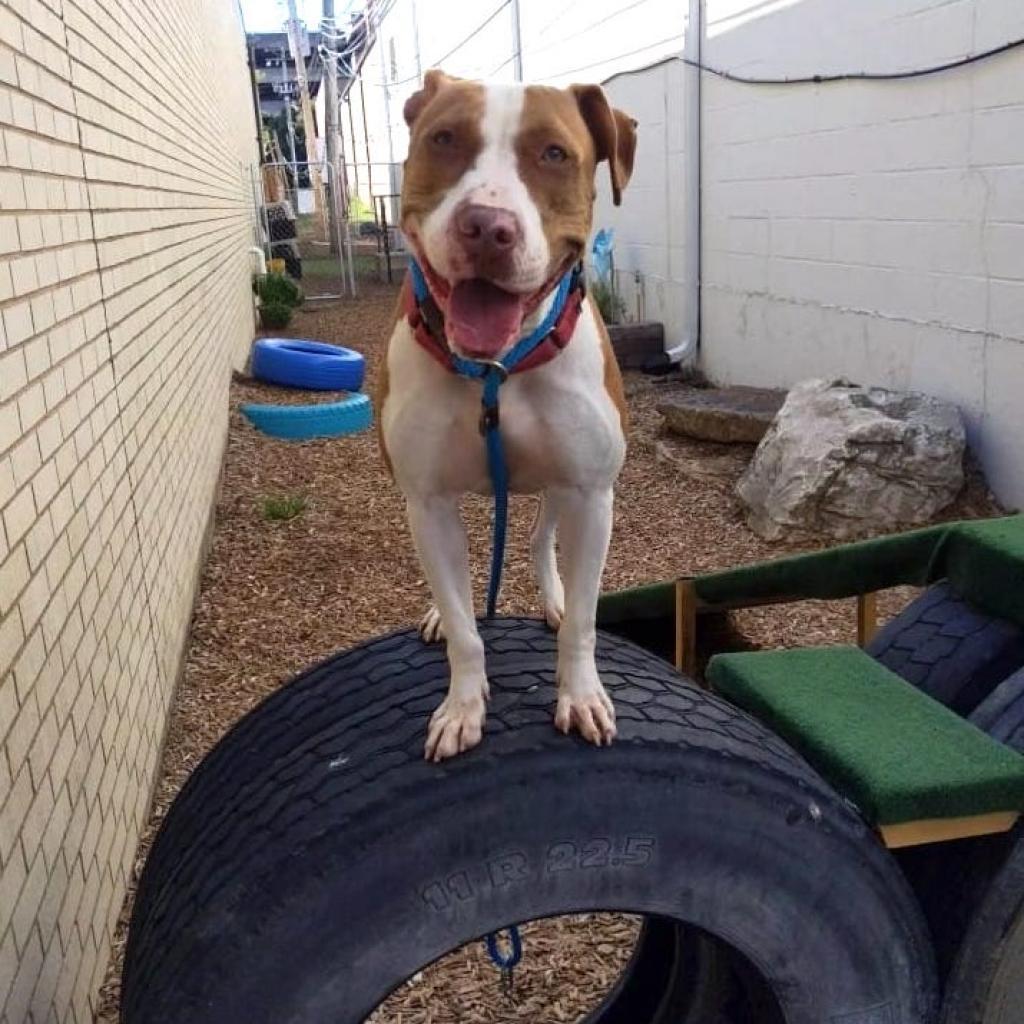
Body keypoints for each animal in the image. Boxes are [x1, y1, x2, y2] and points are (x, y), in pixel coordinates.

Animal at [380, 70, 634, 761]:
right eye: (443, 139)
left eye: (554, 153)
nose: (486, 227)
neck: (497, 370)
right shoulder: (427, 500)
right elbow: (467, 624)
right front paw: (463, 706)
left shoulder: (591, 492)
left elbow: (584, 621)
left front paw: (581, 695)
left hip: (559, 488)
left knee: (540, 538)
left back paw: (552, 598)